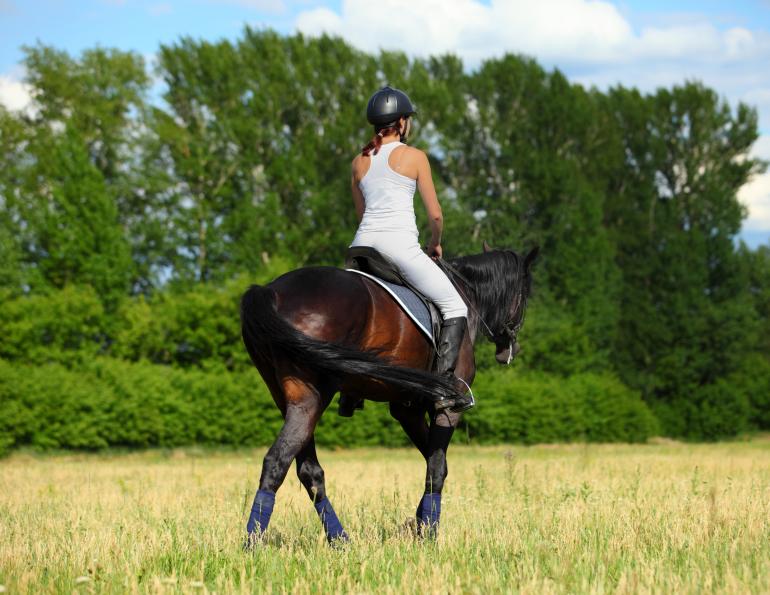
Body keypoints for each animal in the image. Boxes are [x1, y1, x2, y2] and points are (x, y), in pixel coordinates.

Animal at [239, 242, 538, 544]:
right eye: (525, 294)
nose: (511, 349)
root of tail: (271, 291)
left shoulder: (407, 409)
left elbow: (433, 460)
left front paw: (418, 523)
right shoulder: (446, 408)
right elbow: (437, 466)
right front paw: (428, 533)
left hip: (287, 399)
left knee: (308, 471)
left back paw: (339, 541)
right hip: (312, 398)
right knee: (277, 462)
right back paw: (253, 545)